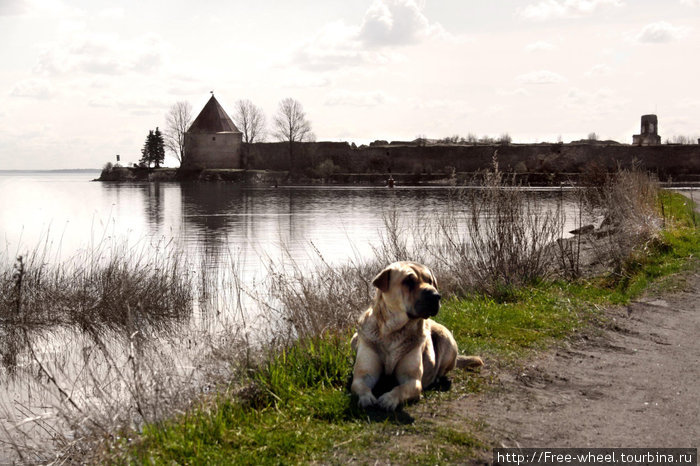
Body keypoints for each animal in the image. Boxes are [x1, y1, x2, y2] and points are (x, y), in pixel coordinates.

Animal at [350, 262, 482, 412]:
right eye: (409, 281)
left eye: (430, 281)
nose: (436, 296)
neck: (393, 331)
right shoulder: (364, 374)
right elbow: (360, 385)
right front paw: (366, 398)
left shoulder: (412, 380)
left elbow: (400, 388)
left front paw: (389, 399)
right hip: (354, 339)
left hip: (446, 339)